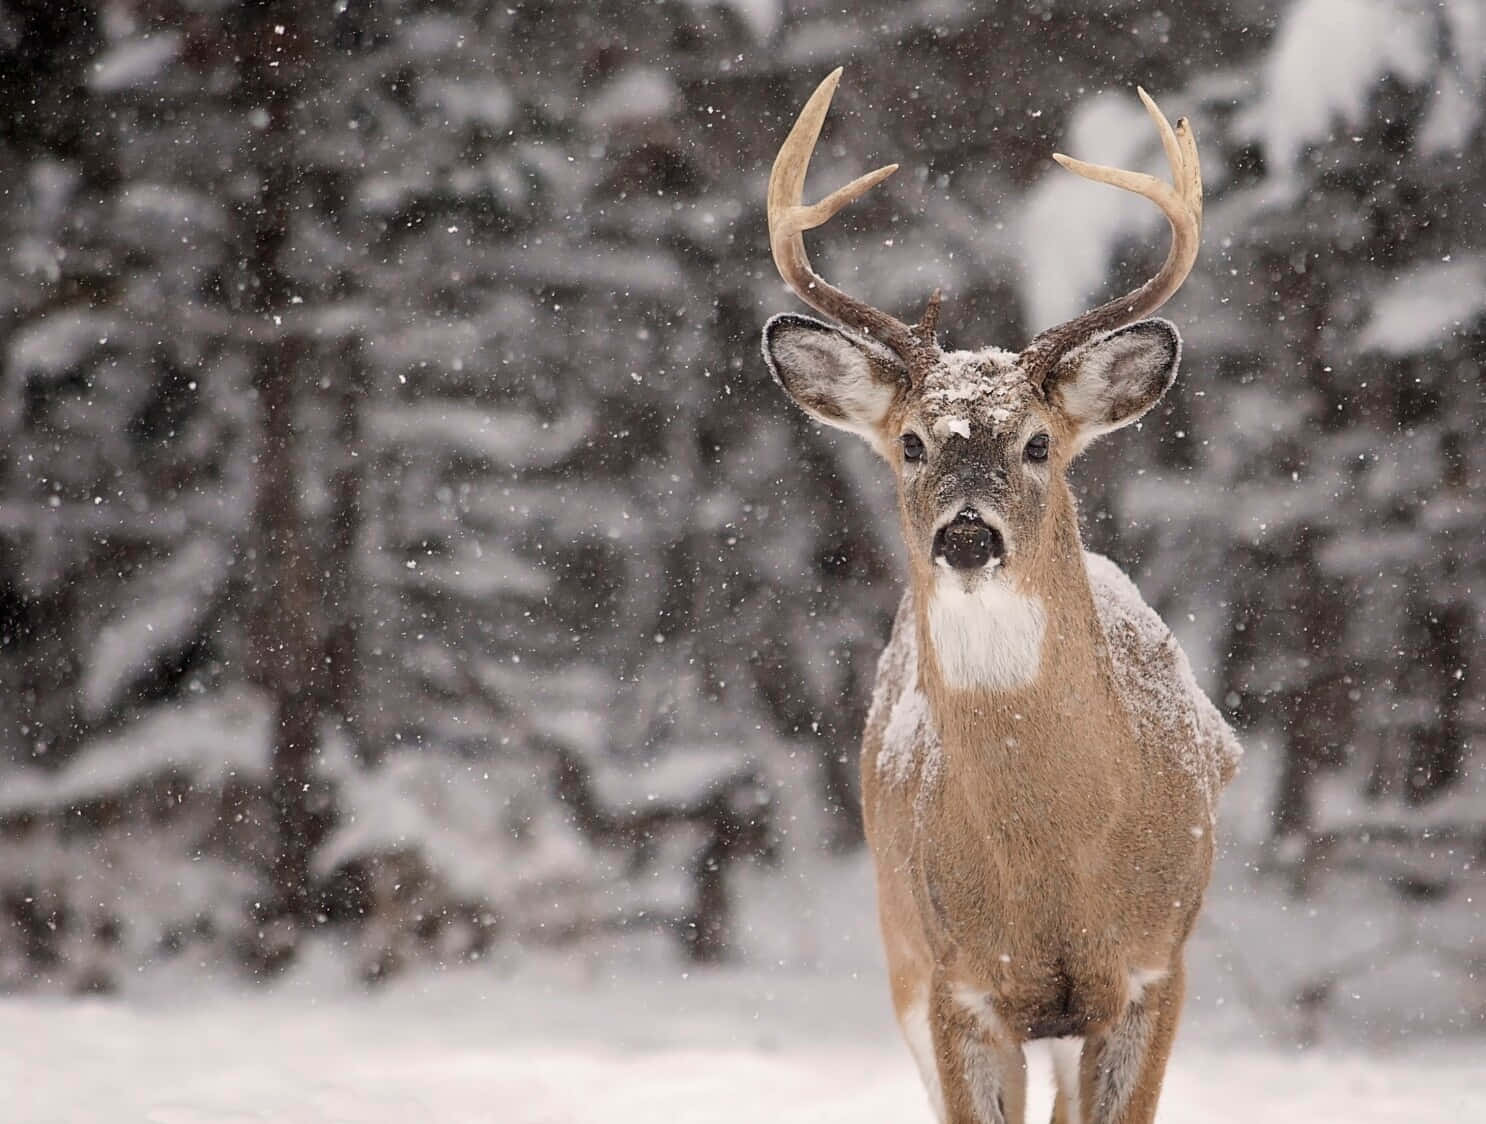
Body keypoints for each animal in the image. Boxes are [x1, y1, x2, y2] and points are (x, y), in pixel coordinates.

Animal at [760, 70, 1242, 1124]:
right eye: (911, 443)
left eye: (1037, 443)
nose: (968, 534)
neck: (1056, 867)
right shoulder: (957, 985)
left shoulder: (1155, 969)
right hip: (899, 950)